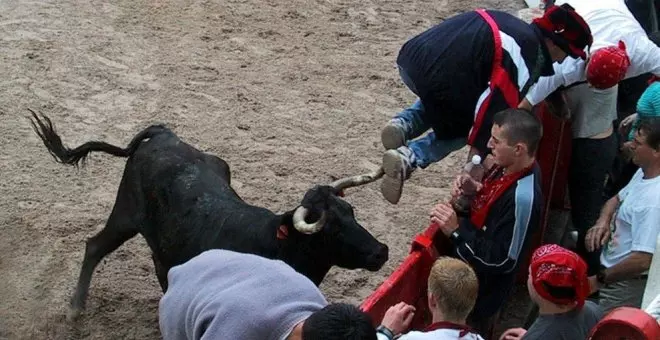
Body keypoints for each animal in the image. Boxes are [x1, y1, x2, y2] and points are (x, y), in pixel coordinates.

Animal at [29, 111, 386, 318]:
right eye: (331, 229)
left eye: (351, 212)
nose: (381, 251)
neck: (273, 246)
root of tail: (164, 135)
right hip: (125, 215)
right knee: (94, 246)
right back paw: (75, 310)